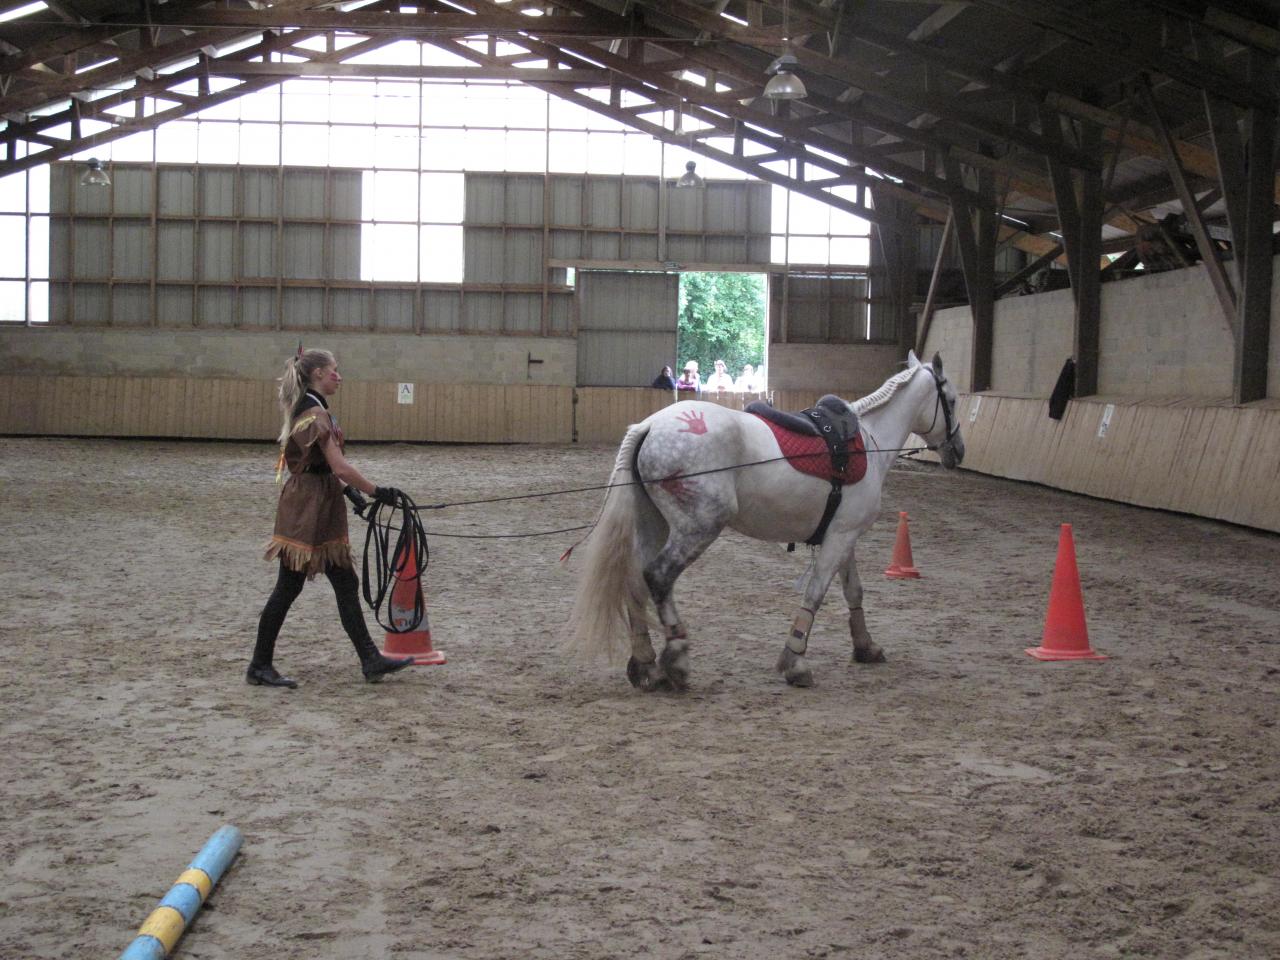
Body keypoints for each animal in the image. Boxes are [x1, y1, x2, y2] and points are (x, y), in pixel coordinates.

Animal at [565, 353, 962, 691]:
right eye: (953, 400)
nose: (958, 451)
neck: (868, 441)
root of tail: (648, 425)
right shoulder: (839, 538)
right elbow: (815, 594)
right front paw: (795, 662)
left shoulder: (844, 535)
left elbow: (854, 592)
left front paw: (866, 646)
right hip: (699, 527)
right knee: (658, 577)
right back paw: (676, 659)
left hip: (654, 525)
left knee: (635, 580)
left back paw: (646, 664)